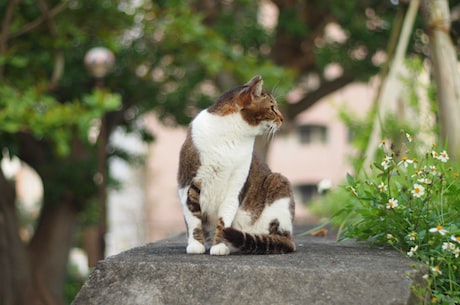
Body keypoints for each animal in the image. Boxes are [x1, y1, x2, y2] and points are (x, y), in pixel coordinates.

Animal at [176, 74, 294, 254]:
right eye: (272, 107)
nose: (282, 118)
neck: (232, 136)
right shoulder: (188, 184)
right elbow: (193, 217)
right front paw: (196, 245)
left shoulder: (235, 186)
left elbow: (224, 218)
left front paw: (219, 245)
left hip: (278, 181)